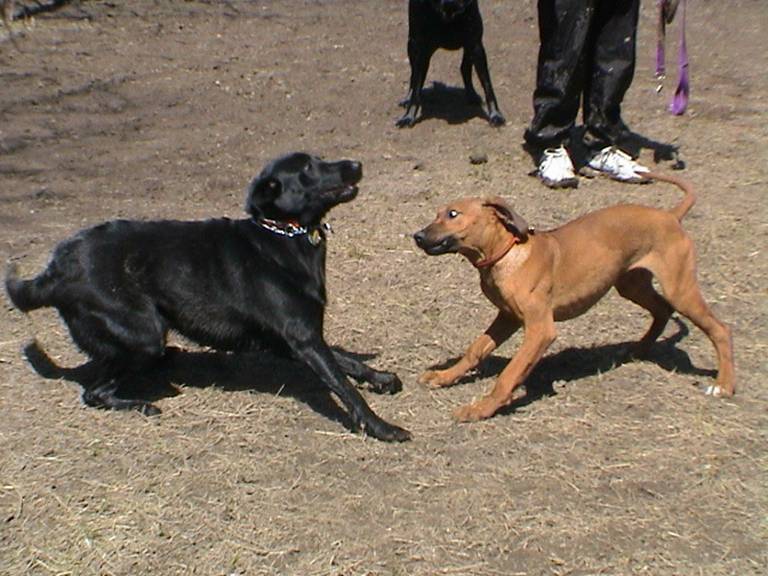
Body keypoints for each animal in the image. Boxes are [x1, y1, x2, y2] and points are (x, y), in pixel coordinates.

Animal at [6, 152, 412, 440]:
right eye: (309, 168)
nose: (357, 164)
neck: (284, 234)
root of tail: (55, 269)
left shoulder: (295, 339)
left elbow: (347, 361)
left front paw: (379, 377)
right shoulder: (303, 339)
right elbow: (345, 387)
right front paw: (382, 428)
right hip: (144, 334)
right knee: (94, 392)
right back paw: (141, 406)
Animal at [412, 173, 736, 420]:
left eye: (453, 214)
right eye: (437, 213)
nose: (417, 236)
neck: (508, 255)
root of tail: (670, 216)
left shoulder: (540, 330)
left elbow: (509, 373)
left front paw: (481, 409)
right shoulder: (507, 317)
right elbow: (476, 350)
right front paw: (444, 376)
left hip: (680, 289)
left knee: (719, 329)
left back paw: (723, 385)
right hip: (630, 284)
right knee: (662, 310)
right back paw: (637, 350)